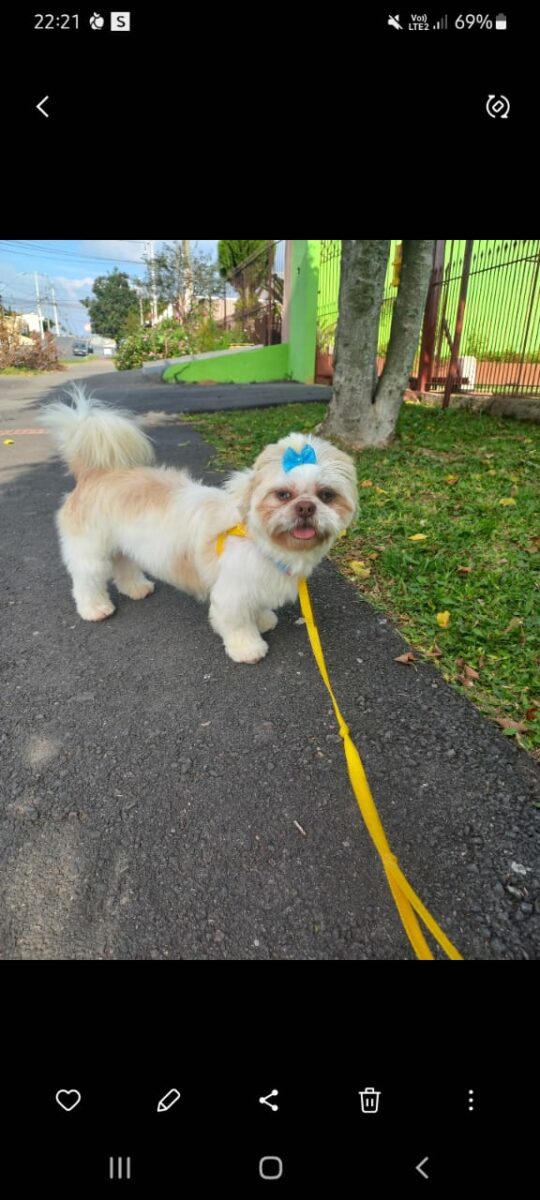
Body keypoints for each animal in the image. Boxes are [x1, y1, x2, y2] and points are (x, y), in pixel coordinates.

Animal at [41, 386, 357, 662]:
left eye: (326, 495)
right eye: (283, 495)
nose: (305, 507)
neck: (259, 540)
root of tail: (92, 474)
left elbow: (258, 608)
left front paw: (264, 619)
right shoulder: (232, 594)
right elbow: (237, 623)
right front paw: (248, 648)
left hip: (121, 545)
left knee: (123, 564)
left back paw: (136, 587)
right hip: (90, 550)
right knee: (87, 578)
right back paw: (94, 608)